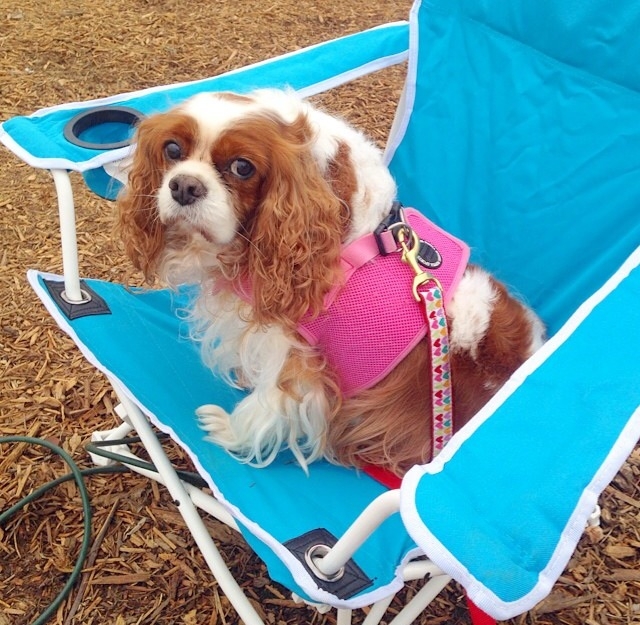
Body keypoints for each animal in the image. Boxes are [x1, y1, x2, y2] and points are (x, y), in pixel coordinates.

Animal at [116, 88, 544, 476]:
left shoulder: (297, 357)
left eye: (242, 167)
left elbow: (269, 402)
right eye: (172, 150)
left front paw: (230, 429)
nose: (184, 186)